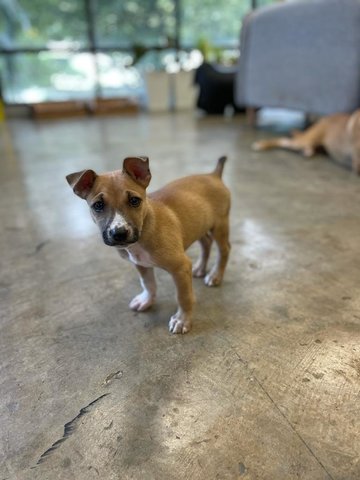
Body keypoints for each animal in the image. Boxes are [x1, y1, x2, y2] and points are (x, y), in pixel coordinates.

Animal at [66, 157, 231, 334]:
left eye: (134, 201)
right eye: (98, 205)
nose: (119, 233)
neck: (145, 228)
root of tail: (213, 175)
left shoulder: (180, 267)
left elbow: (183, 296)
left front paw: (182, 319)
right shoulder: (140, 263)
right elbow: (148, 283)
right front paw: (146, 300)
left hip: (220, 225)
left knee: (224, 250)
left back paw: (215, 275)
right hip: (199, 224)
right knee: (206, 242)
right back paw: (200, 268)